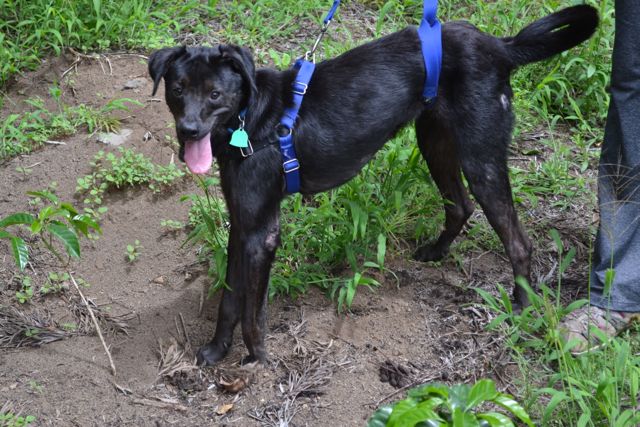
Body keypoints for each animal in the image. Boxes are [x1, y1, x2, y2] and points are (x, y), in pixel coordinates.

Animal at [149, 5, 598, 365]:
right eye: (177, 90)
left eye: (215, 94)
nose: (188, 132)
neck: (249, 118)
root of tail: (499, 47)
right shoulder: (242, 224)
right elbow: (230, 298)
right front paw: (215, 351)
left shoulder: (262, 233)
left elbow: (251, 312)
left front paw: (256, 359)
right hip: (434, 140)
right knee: (460, 206)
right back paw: (436, 252)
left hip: (481, 159)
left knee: (518, 241)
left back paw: (521, 306)